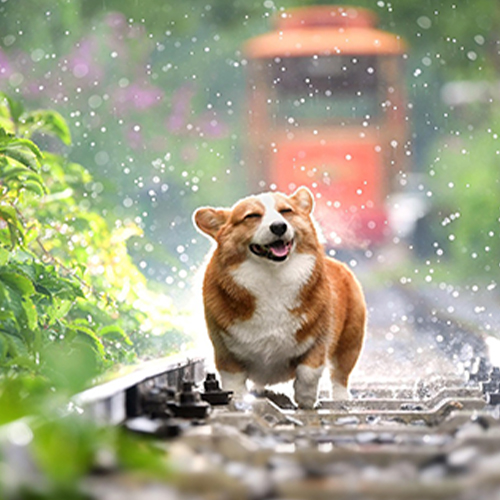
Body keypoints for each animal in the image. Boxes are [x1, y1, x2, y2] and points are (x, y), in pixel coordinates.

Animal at [193, 186, 366, 408]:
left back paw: (341, 398)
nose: (279, 227)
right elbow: (234, 381)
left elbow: (308, 373)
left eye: (286, 211)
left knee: (340, 375)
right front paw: (239, 400)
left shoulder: (319, 340)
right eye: (252, 216)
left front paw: (306, 400)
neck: (272, 276)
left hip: (350, 341)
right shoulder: (224, 349)